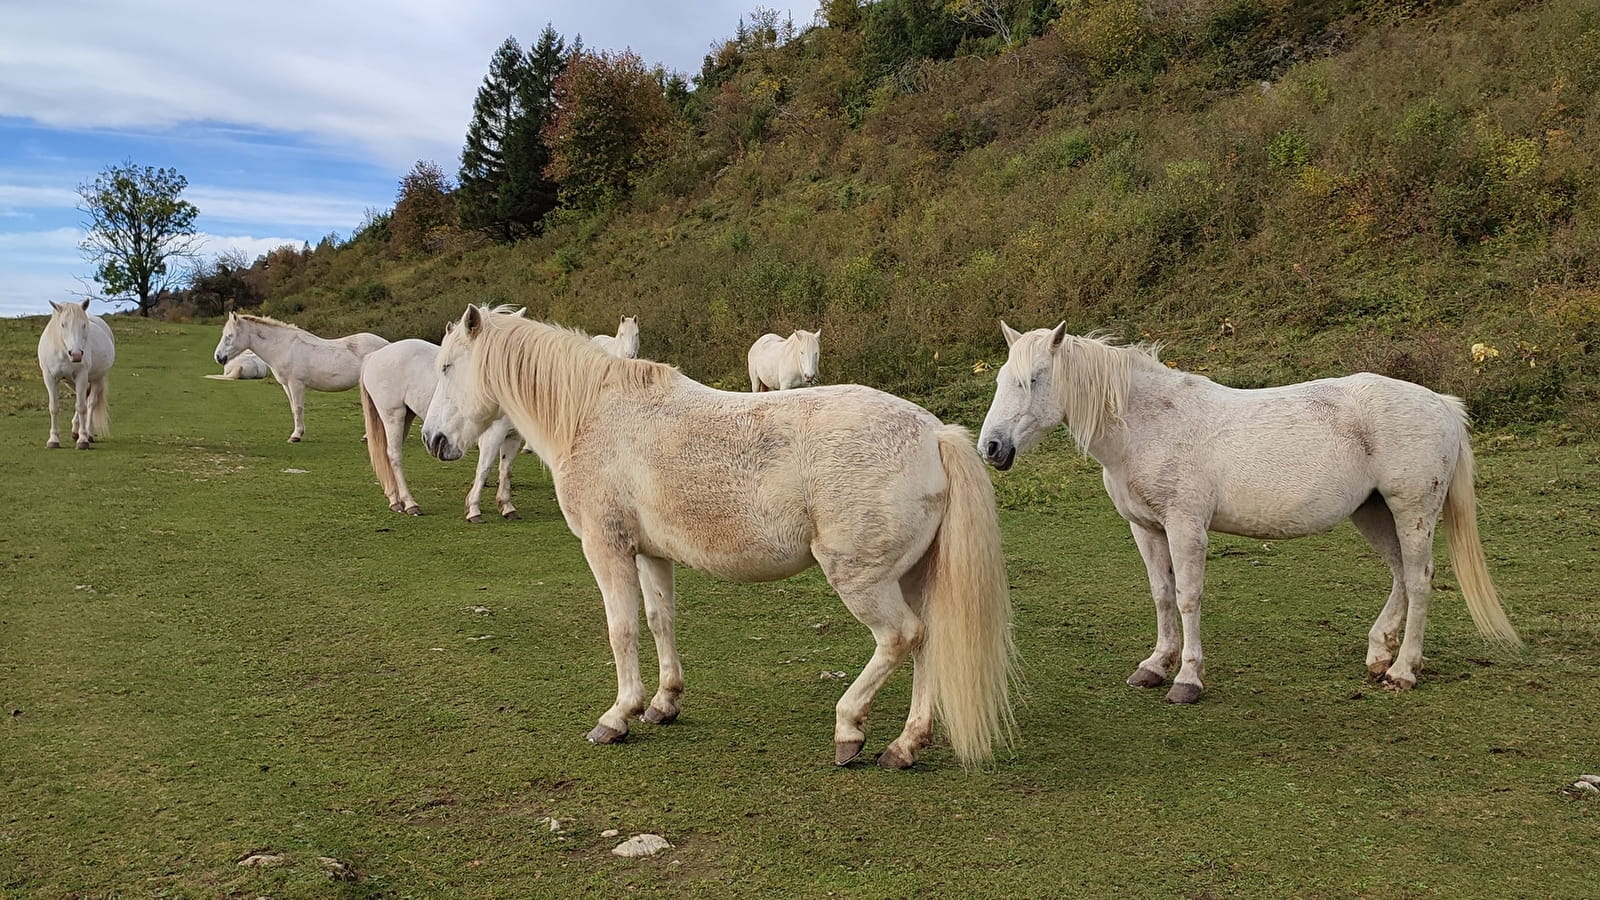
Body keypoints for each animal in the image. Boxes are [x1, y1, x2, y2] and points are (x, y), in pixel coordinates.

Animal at [37, 299, 115, 449]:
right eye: (63, 324)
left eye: (83, 325)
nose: (76, 355)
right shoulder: (49, 378)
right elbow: (54, 407)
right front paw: (53, 440)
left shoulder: (82, 376)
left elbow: (81, 407)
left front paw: (83, 440)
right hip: (71, 383)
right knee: (84, 399)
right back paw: (75, 431)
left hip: (97, 379)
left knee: (90, 403)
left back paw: (88, 433)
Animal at [213, 312, 388, 442]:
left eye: (229, 336)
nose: (219, 357)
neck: (284, 346)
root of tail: (388, 345)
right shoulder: (286, 385)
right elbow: (293, 408)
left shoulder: (296, 384)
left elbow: (298, 408)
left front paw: (296, 436)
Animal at [359, 338, 524, 523]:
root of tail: (374, 356)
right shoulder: (493, 435)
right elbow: (484, 469)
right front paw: (473, 509)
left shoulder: (513, 437)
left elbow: (506, 470)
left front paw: (507, 506)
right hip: (393, 416)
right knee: (394, 456)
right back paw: (410, 503)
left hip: (405, 417)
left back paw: (395, 500)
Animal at [420, 306, 1014, 770]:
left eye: (447, 367)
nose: (432, 439)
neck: (593, 414)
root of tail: (934, 433)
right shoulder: (650, 554)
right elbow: (659, 621)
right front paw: (663, 703)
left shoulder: (606, 549)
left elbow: (621, 630)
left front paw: (618, 715)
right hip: (909, 575)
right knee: (925, 642)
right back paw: (905, 745)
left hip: (862, 580)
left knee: (899, 637)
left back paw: (850, 728)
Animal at [977, 322, 1519, 703]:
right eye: (1003, 379)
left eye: (1033, 380)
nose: (992, 447)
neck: (1148, 424)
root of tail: (1441, 403)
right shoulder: (1146, 529)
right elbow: (1161, 596)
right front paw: (1154, 666)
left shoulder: (1185, 528)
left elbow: (1187, 598)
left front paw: (1187, 679)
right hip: (1372, 513)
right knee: (1402, 574)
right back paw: (1378, 654)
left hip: (1412, 511)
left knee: (1421, 578)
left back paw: (1404, 671)